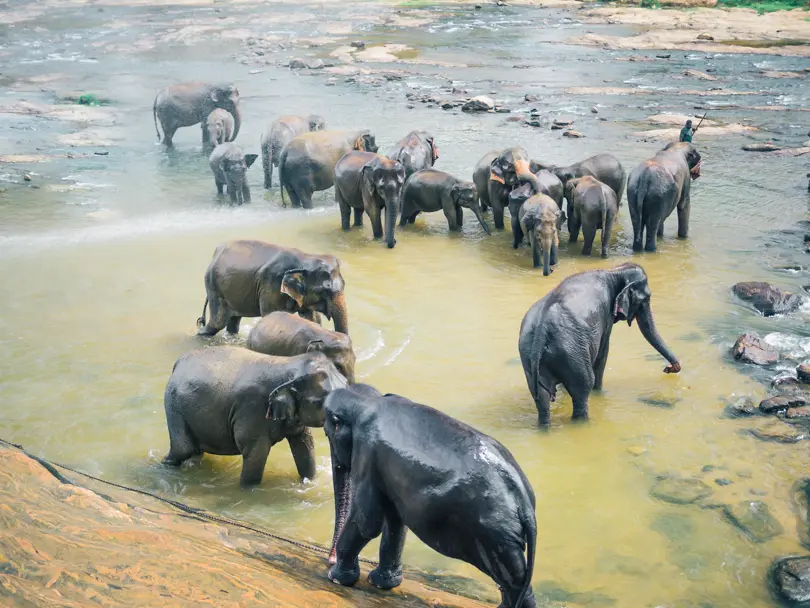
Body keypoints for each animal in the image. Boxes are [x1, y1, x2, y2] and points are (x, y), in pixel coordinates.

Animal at [162, 346, 347, 486]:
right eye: (324, 402)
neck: (289, 364)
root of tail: (179, 362)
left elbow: (305, 446)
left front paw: (310, 482)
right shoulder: (252, 410)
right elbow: (255, 454)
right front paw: (248, 490)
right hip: (173, 404)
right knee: (183, 449)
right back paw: (164, 465)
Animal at [196, 240, 348, 337]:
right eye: (324, 291)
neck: (305, 258)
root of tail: (216, 252)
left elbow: (313, 319)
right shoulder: (271, 285)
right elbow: (271, 315)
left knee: (233, 320)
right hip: (213, 286)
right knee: (218, 322)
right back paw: (200, 334)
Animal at [323, 384, 538, 608]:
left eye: (327, 432)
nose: (329, 561)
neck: (368, 401)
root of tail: (525, 501)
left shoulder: (366, 453)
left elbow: (367, 522)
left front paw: (336, 578)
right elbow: (395, 522)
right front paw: (381, 583)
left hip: (493, 530)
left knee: (511, 576)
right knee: (517, 578)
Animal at [518, 263, 681, 426]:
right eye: (645, 300)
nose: (668, 368)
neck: (615, 271)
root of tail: (542, 330)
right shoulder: (607, 315)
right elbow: (603, 352)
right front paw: (599, 392)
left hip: (532, 357)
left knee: (542, 398)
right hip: (572, 352)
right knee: (582, 388)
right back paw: (583, 423)